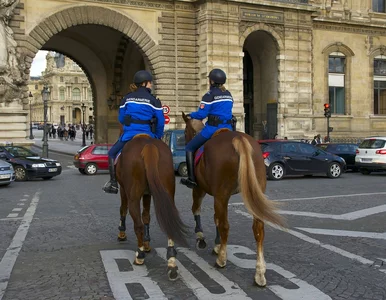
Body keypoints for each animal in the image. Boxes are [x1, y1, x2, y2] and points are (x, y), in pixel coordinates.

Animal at [115, 135, 189, 280]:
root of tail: (148, 145)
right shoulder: (148, 194)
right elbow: (146, 216)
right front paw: (147, 243)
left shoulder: (124, 190)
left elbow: (123, 209)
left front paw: (122, 234)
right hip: (167, 192)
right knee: (168, 221)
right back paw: (171, 262)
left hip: (133, 196)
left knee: (137, 224)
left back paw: (139, 255)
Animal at [182, 112, 286, 286]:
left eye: (184, 132)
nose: (185, 141)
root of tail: (239, 139)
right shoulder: (219, 195)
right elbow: (216, 218)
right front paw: (217, 244)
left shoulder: (200, 189)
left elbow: (198, 211)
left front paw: (202, 238)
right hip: (252, 193)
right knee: (258, 229)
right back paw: (259, 273)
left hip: (219, 194)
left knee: (225, 225)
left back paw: (221, 260)